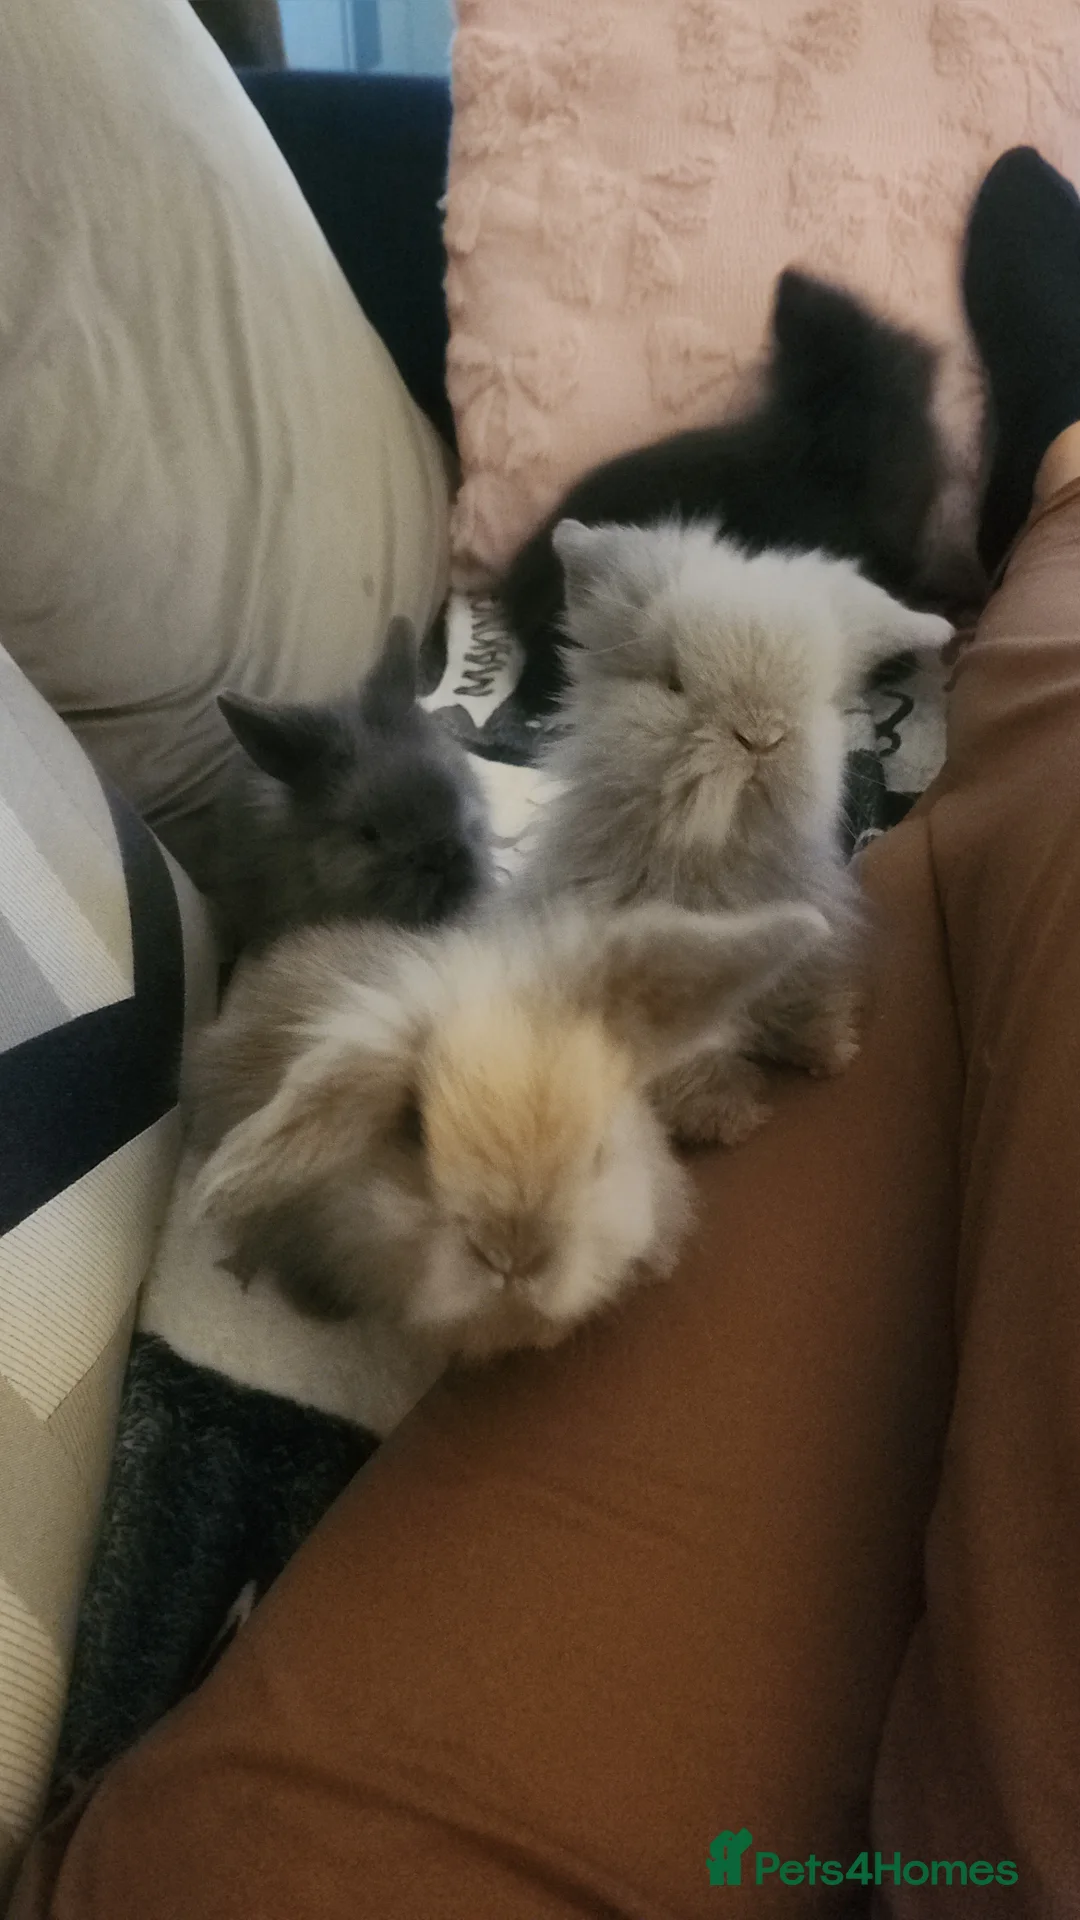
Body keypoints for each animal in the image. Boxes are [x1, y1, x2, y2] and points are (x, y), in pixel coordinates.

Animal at [515, 518, 954, 1148]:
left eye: (817, 695)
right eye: (673, 682)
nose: (761, 735)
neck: (719, 850)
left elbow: (799, 997)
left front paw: (832, 1049)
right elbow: (692, 1067)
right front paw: (735, 1120)